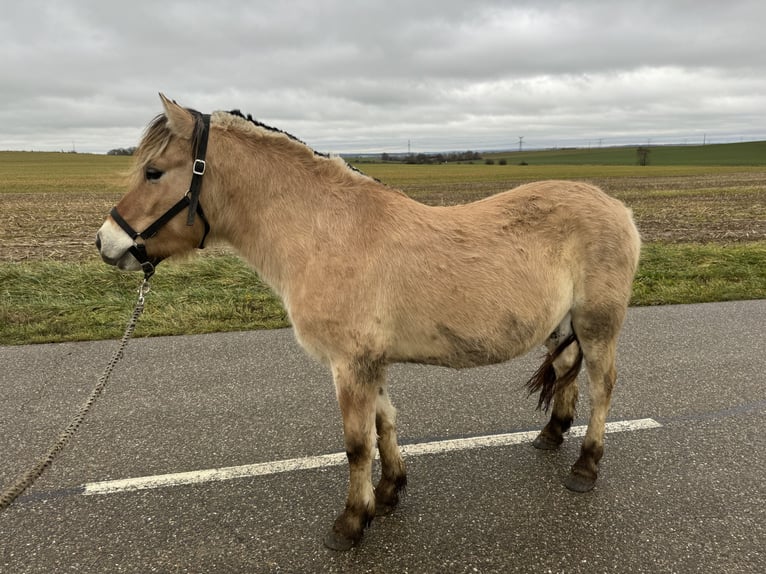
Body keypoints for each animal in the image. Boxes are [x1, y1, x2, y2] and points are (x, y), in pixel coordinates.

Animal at [99, 95, 644, 552]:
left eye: (153, 172)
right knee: (569, 370)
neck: (325, 232)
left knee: (602, 385)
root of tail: (618, 207)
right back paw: (552, 433)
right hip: (563, 326)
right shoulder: (369, 363)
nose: (106, 242)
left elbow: (357, 445)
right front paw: (388, 492)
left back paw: (586, 465)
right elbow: (385, 424)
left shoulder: (349, 364)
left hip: (598, 325)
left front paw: (351, 522)